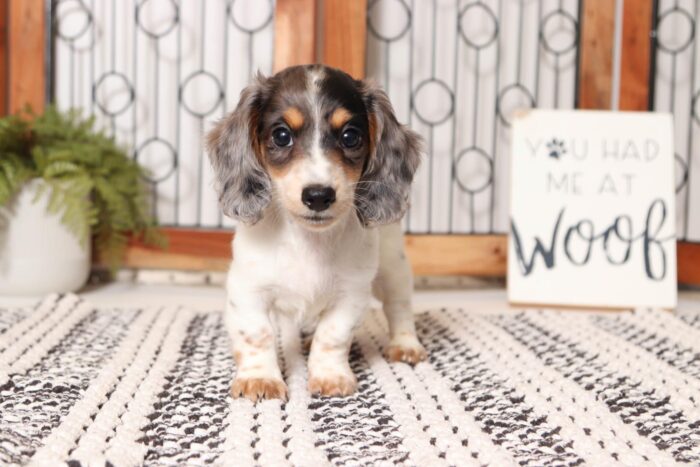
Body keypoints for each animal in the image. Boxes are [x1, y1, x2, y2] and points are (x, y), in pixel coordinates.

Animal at [208, 64, 424, 402]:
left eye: (350, 136)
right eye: (281, 135)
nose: (319, 195)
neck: (308, 241)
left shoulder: (351, 294)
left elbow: (333, 335)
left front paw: (330, 375)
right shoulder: (248, 290)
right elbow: (257, 333)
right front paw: (260, 378)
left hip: (394, 266)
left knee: (399, 305)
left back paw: (405, 344)